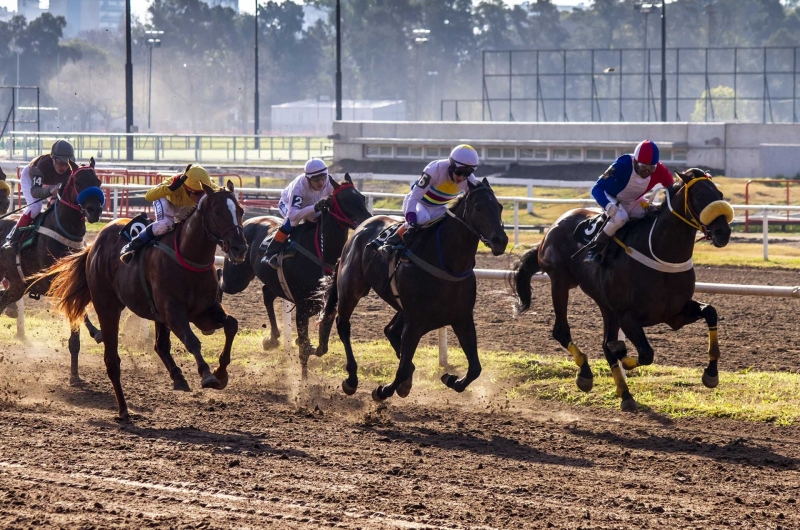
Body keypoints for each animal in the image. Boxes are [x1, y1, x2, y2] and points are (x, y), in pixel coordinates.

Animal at [0, 159, 104, 382]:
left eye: (98, 181)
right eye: (78, 182)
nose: (94, 210)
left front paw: (75, 376)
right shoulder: (55, 285)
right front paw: (96, 332)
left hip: (17, 286)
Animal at [46, 182, 247, 416]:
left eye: (241, 211)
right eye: (217, 211)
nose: (240, 248)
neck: (189, 256)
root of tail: (94, 245)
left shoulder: (204, 311)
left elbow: (231, 324)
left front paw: (221, 372)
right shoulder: (173, 312)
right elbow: (192, 340)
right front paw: (207, 374)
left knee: (160, 346)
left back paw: (177, 378)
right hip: (107, 306)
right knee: (112, 359)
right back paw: (123, 410)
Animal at [217, 173, 370, 368]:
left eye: (362, 197)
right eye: (343, 199)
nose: (366, 220)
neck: (321, 252)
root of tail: (248, 222)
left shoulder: (328, 306)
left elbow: (321, 347)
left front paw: (304, 344)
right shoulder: (302, 307)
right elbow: (304, 350)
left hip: (270, 281)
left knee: (267, 293)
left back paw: (272, 339)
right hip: (236, 278)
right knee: (220, 277)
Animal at [318, 176, 506, 396]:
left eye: (499, 206)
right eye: (478, 207)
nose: (501, 240)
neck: (447, 265)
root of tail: (361, 227)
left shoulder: (462, 319)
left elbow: (475, 368)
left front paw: (452, 379)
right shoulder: (415, 323)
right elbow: (402, 369)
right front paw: (383, 390)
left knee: (390, 331)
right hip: (351, 289)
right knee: (343, 325)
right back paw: (352, 379)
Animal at [512, 167, 732, 410]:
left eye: (720, 194)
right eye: (699, 196)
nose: (723, 233)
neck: (661, 253)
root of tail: (553, 226)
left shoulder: (675, 314)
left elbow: (710, 311)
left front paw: (711, 373)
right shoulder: (628, 316)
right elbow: (645, 354)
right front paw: (623, 356)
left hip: (606, 305)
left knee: (604, 343)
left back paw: (624, 393)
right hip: (560, 282)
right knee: (562, 330)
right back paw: (587, 374)